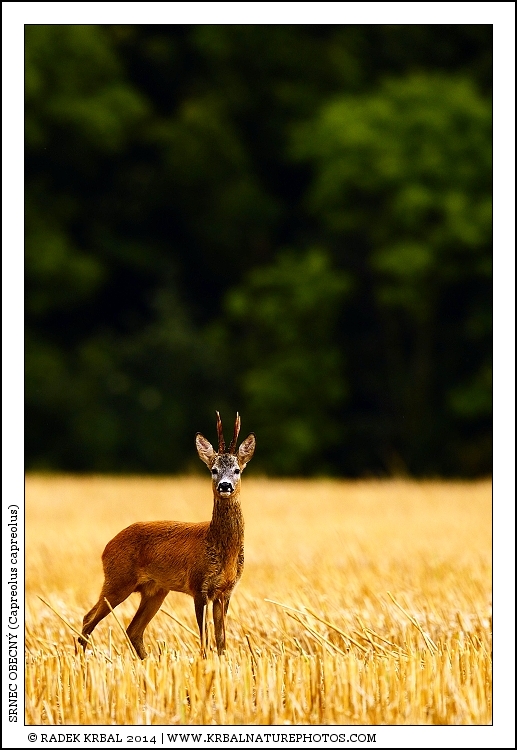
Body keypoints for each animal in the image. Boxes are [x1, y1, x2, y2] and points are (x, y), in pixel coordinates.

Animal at [78, 412, 255, 659]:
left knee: (133, 630)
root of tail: (106, 547)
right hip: (118, 579)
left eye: (237, 470)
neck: (220, 548)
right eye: (213, 470)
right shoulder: (198, 586)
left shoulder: (226, 591)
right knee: (89, 619)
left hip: (155, 590)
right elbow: (204, 639)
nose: (225, 485)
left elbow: (221, 641)